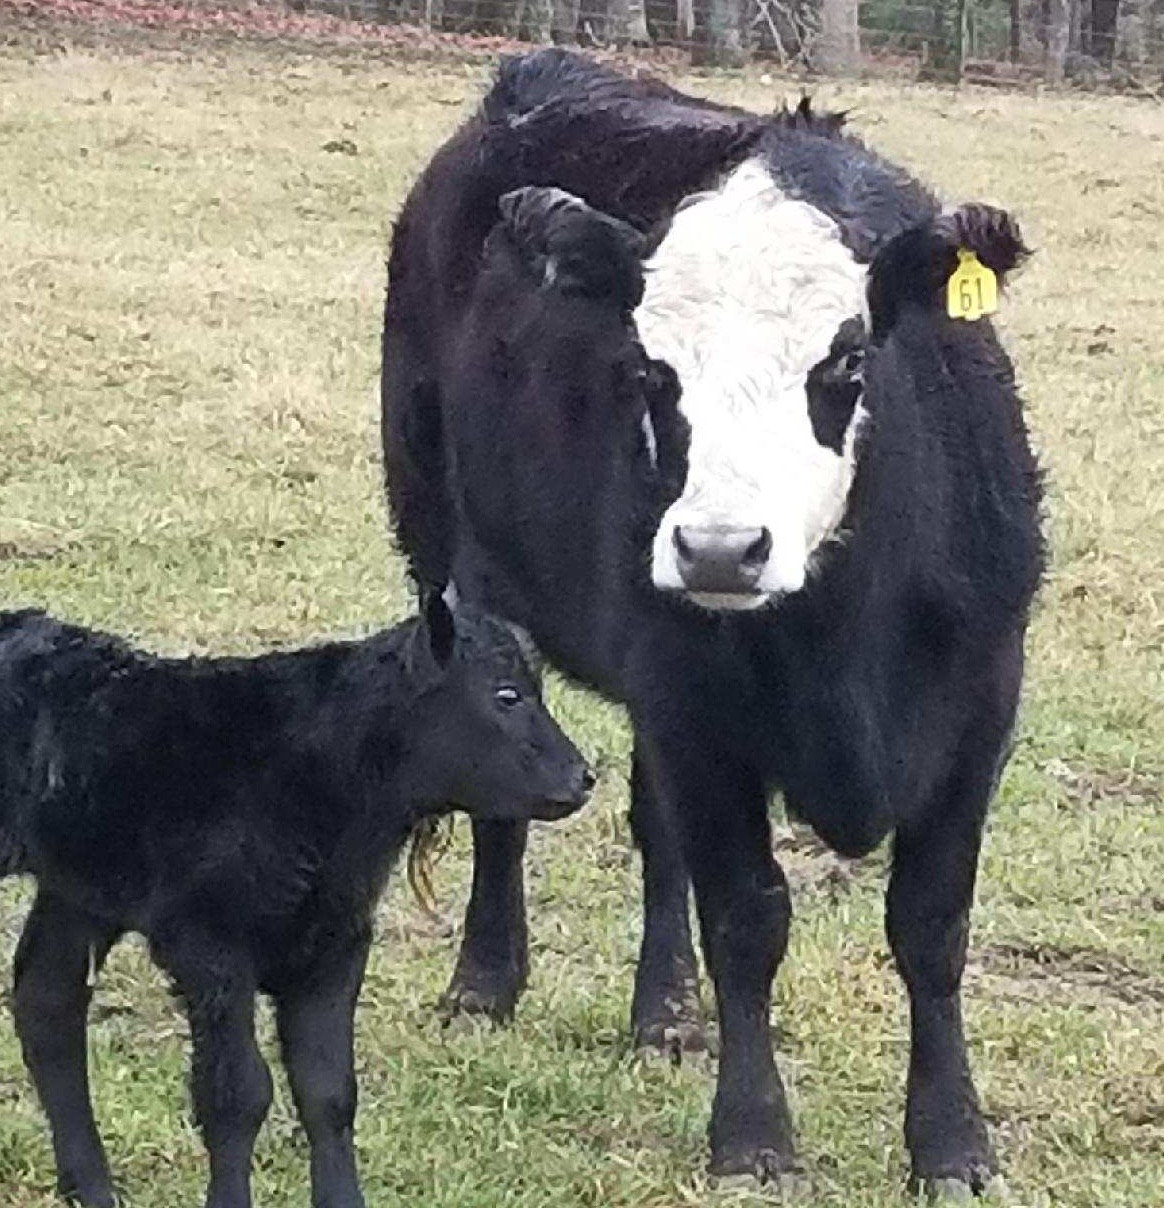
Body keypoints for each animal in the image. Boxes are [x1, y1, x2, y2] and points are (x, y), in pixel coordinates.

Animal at [0, 599, 596, 1208]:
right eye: (507, 695)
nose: (584, 777)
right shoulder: (209, 945)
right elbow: (236, 1094)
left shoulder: (336, 942)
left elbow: (328, 1090)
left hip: (80, 887)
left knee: (47, 1000)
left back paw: (92, 1187)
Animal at [383, 51, 1048, 1193]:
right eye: (651, 372)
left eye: (847, 359)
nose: (719, 549)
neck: (847, 647)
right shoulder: (695, 700)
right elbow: (745, 912)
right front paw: (752, 1136)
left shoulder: (979, 702)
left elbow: (931, 924)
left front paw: (953, 1142)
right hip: (453, 562)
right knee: (508, 801)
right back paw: (484, 981)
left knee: (655, 831)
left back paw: (666, 1012)